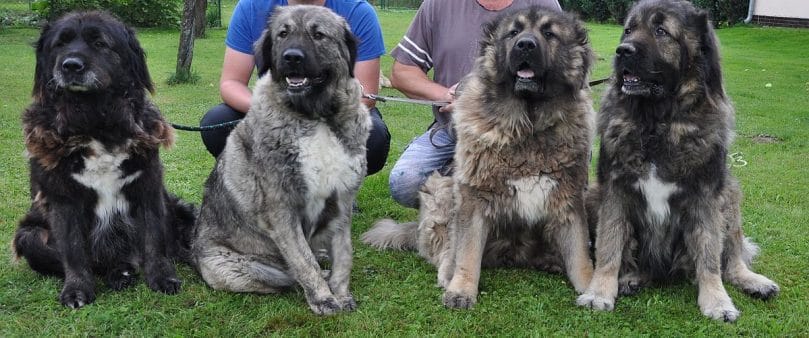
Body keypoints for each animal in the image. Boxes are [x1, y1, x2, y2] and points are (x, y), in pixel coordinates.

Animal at [11, 11, 195, 308]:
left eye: (100, 43)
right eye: (60, 44)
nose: (70, 66)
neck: (95, 122)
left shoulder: (148, 187)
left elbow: (154, 238)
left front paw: (162, 277)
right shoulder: (63, 199)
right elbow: (73, 251)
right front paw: (77, 289)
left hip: (181, 209)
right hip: (30, 235)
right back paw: (119, 273)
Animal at [189, 5, 370, 316]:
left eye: (318, 34)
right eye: (282, 34)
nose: (292, 57)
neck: (315, 117)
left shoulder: (342, 201)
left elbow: (344, 254)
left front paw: (341, 293)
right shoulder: (281, 209)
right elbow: (304, 262)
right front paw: (324, 298)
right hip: (237, 268)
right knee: (288, 276)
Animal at [362, 6, 596, 310]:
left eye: (549, 33)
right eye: (513, 32)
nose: (525, 45)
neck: (528, 125)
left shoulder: (568, 198)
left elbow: (580, 254)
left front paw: (594, 288)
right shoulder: (473, 197)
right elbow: (467, 253)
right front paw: (461, 290)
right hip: (440, 189)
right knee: (446, 249)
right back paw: (447, 271)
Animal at [576, 0, 776, 322]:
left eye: (661, 31)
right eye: (628, 29)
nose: (622, 51)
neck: (659, 123)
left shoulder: (705, 196)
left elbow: (709, 258)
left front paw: (717, 301)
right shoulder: (615, 191)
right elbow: (610, 246)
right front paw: (599, 292)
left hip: (729, 195)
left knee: (732, 257)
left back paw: (753, 281)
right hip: (593, 195)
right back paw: (631, 277)